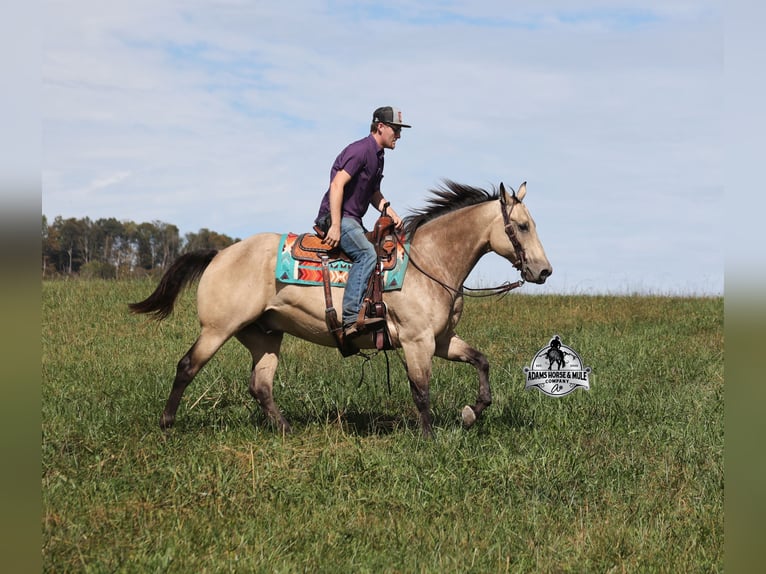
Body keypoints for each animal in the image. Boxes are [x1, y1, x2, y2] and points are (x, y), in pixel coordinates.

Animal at [129, 181, 552, 438]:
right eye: (521, 226)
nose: (543, 270)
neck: (428, 263)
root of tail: (219, 254)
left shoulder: (442, 339)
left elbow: (481, 362)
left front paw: (471, 412)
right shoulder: (417, 342)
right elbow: (421, 391)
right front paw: (430, 438)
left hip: (264, 335)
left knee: (260, 385)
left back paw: (286, 429)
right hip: (217, 329)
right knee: (187, 366)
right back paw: (167, 423)